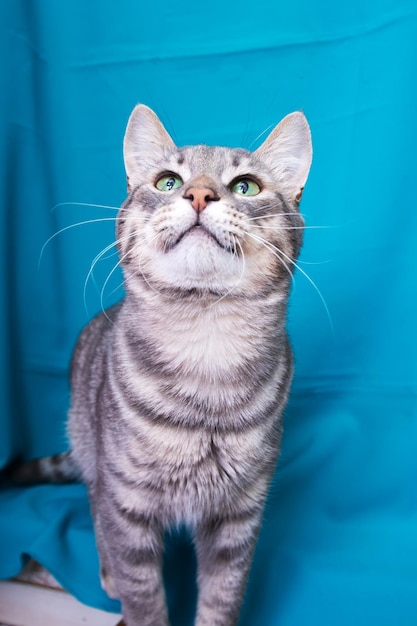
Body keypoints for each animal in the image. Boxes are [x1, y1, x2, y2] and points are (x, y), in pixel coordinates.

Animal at [13, 105, 312, 624]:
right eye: (168, 182)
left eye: (246, 187)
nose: (200, 194)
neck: (206, 351)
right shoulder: (126, 504)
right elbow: (144, 597)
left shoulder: (239, 515)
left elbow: (221, 598)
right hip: (90, 445)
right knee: (93, 502)